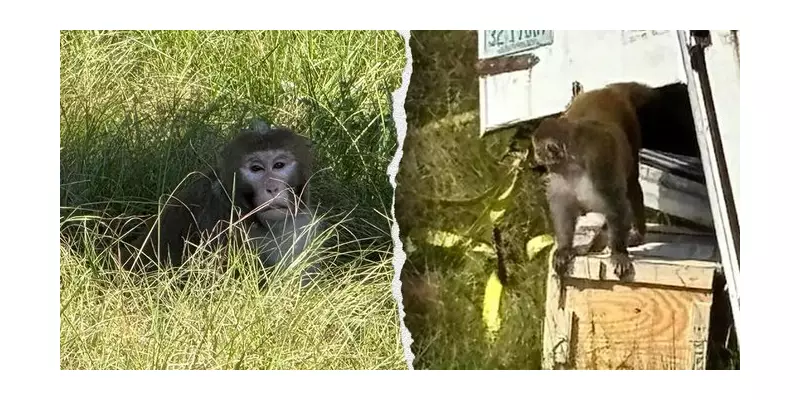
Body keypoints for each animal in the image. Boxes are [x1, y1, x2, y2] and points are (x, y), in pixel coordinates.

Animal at [529, 82, 657, 280]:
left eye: (537, 150)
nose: (534, 159)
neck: (573, 164)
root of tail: (607, 90)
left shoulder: (599, 164)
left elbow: (616, 205)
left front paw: (618, 252)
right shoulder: (560, 176)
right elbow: (563, 208)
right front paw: (564, 248)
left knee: (632, 185)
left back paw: (637, 232)